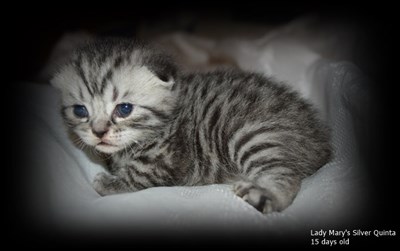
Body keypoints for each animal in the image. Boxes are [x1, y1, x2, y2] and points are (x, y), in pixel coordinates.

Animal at [50, 38, 332, 214]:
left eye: (124, 109)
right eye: (80, 111)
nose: (98, 132)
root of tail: (320, 138)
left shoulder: (168, 160)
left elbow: (138, 176)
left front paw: (109, 182)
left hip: (251, 135)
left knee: (286, 174)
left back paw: (263, 194)